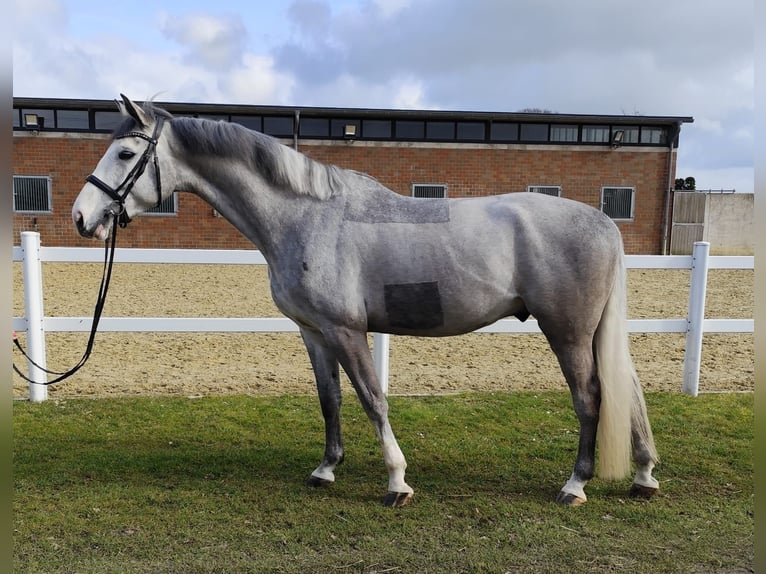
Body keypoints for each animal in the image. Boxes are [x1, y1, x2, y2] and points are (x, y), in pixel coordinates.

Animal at [70, 94, 660, 508]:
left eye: (126, 152)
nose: (82, 217)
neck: (307, 216)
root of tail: (603, 222)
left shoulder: (347, 330)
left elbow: (373, 399)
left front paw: (397, 481)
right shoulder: (313, 332)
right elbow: (330, 400)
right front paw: (326, 469)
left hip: (568, 332)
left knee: (591, 398)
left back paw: (575, 485)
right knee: (628, 391)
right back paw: (644, 475)